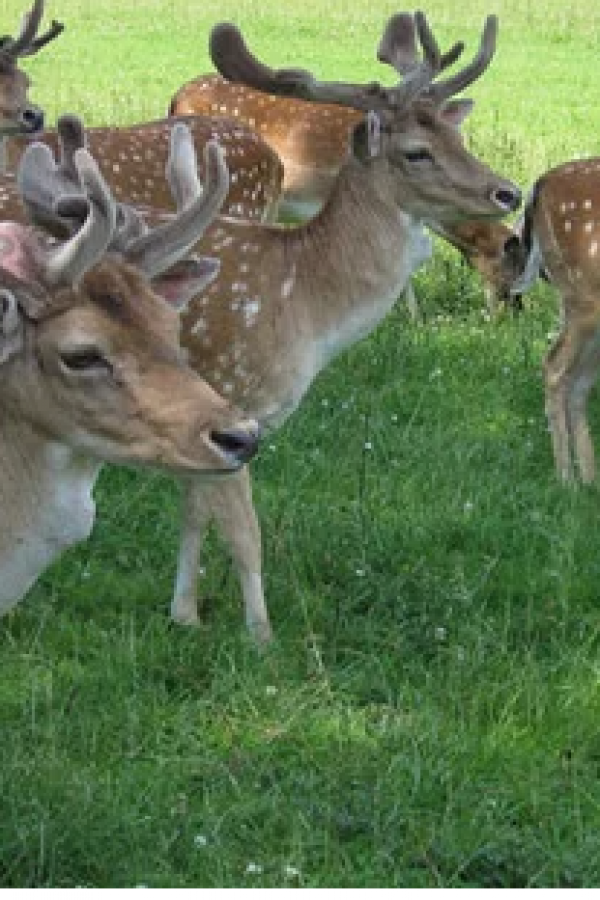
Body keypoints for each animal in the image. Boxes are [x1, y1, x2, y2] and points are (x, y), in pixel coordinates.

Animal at [504, 162, 600, 486]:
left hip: (575, 300)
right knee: (555, 367)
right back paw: (566, 479)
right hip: (585, 296)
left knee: (576, 381)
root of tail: (539, 184)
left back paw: (588, 479)